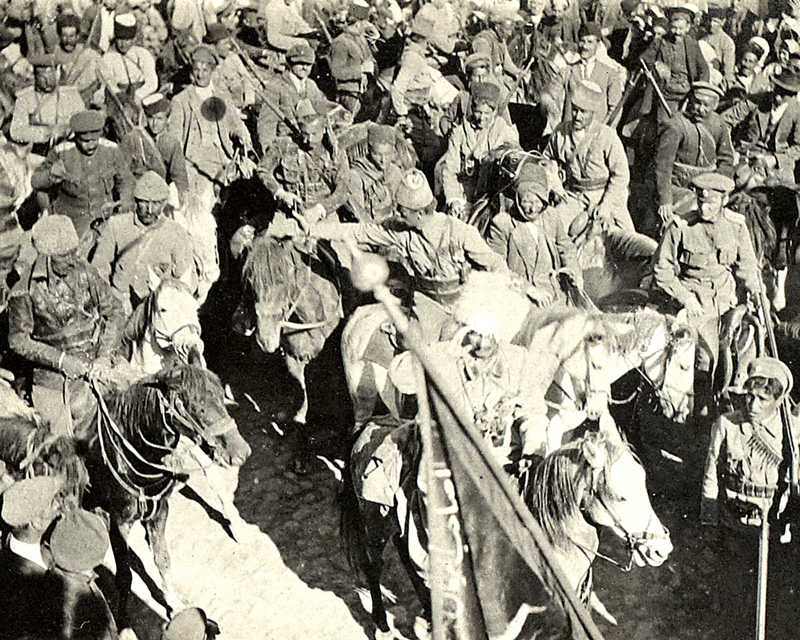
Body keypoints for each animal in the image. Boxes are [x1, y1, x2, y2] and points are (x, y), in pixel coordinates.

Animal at [84, 364, 250, 624]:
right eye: (197, 405)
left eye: (221, 396)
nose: (241, 452)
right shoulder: (119, 521)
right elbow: (124, 575)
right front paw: (123, 622)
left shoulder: (159, 511)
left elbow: (163, 559)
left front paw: (174, 604)